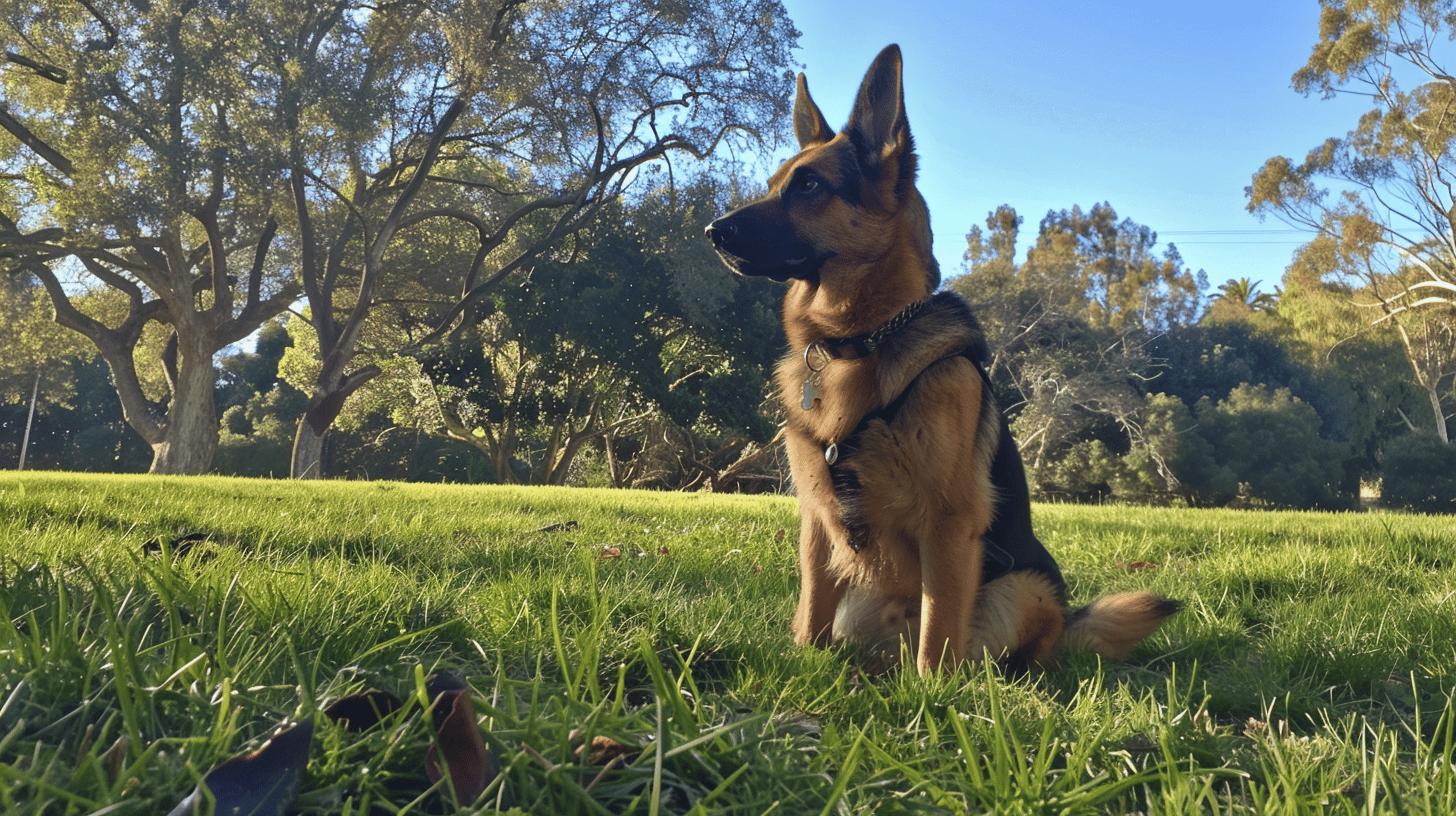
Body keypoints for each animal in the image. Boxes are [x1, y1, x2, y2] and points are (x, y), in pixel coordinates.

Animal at [707, 44, 1182, 676]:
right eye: (775, 183)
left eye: (808, 185)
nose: (712, 230)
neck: (863, 341)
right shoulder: (816, 523)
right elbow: (810, 615)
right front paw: (803, 665)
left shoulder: (949, 524)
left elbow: (938, 631)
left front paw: (931, 693)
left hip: (1022, 588)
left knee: (981, 649)